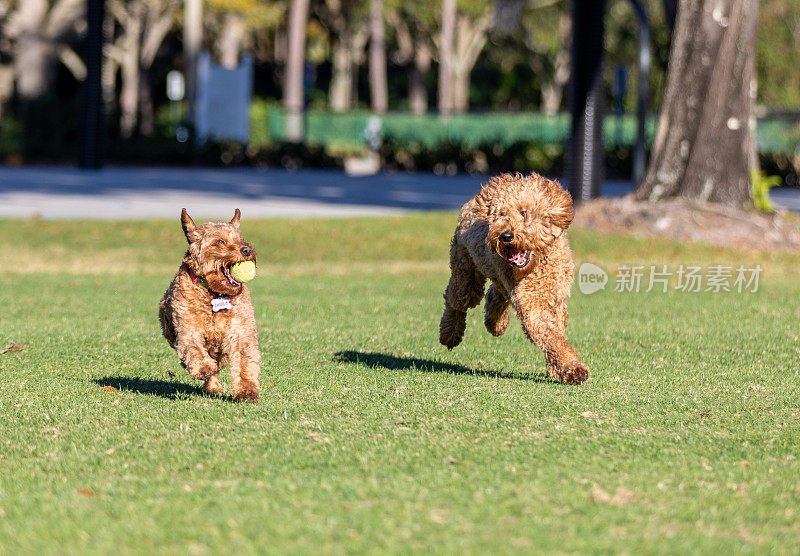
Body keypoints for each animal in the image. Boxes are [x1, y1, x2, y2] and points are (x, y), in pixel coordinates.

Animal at [440, 172, 592, 384]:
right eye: (500, 214)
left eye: (523, 213)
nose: (505, 236)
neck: (538, 265)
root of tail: (473, 201)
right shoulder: (532, 306)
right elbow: (553, 338)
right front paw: (573, 368)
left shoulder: (556, 301)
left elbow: (557, 335)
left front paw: (557, 368)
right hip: (466, 272)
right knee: (455, 300)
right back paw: (449, 334)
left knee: (494, 295)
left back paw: (495, 324)